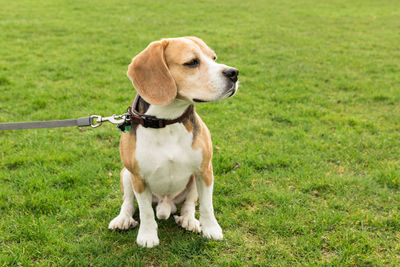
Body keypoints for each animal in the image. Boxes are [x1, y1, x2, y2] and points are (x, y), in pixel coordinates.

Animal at [108, 36, 239, 248]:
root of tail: (165, 204)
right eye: (192, 62)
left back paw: (189, 220)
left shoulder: (205, 170)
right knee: (128, 202)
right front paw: (147, 235)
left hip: (193, 179)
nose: (234, 73)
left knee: (189, 204)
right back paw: (123, 219)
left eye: (214, 58)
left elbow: (207, 205)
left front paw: (211, 229)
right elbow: (145, 210)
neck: (167, 120)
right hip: (126, 174)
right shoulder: (138, 177)